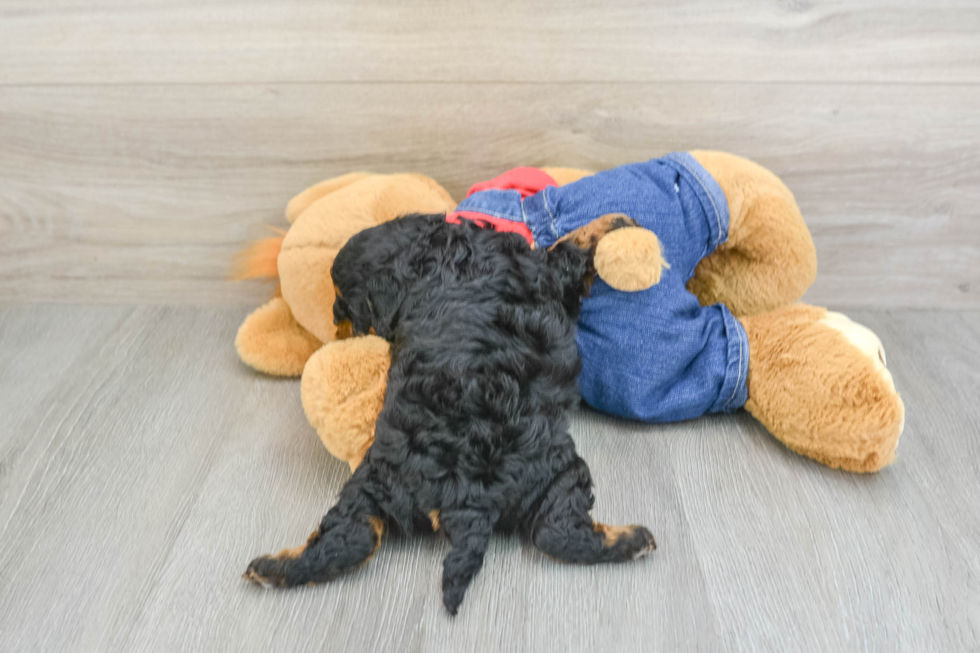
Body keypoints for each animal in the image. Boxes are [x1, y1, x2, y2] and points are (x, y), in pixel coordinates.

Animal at [245, 213, 660, 612]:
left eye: (341, 307)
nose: (337, 330)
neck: (418, 250)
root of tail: (462, 500)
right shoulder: (548, 270)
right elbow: (575, 244)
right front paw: (620, 221)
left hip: (376, 483)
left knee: (353, 536)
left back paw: (271, 569)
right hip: (552, 471)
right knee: (557, 531)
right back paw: (635, 539)